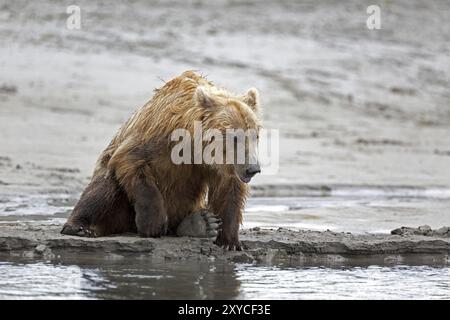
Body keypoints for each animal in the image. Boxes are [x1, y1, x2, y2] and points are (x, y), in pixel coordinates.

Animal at [61, 70, 262, 250]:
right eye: (234, 137)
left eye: (255, 135)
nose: (253, 169)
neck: (195, 148)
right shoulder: (159, 136)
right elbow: (130, 160)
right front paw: (153, 223)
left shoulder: (220, 167)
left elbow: (228, 191)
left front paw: (230, 241)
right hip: (119, 204)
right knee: (104, 188)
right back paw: (79, 227)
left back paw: (201, 224)